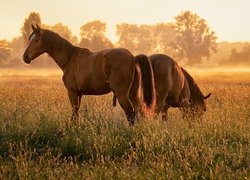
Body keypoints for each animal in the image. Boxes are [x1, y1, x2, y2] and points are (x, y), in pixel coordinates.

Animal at [22, 24, 154, 125]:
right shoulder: (79, 94)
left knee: (131, 113)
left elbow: (75, 114)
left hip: (122, 95)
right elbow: (76, 115)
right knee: (139, 111)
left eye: (36, 40)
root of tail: (132, 57)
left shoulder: (72, 92)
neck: (70, 57)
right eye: (29, 39)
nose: (25, 57)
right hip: (133, 94)